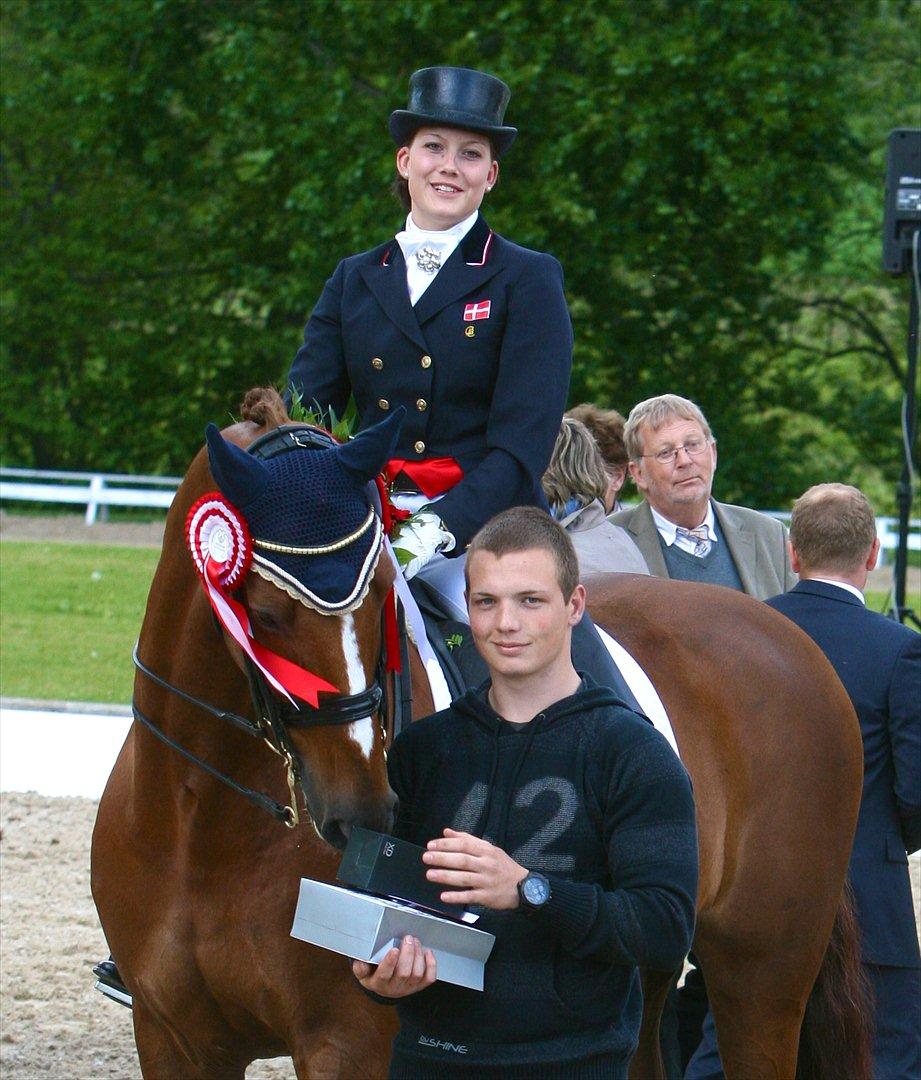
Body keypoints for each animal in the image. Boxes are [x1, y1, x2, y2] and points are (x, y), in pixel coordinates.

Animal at [93, 388, 868, 1080]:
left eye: (381, 595)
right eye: (263, 614)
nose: (363, 814)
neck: (204, 818)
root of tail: (786, 633)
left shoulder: (347, 1044)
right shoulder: (174, 1040)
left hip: (761, 974)